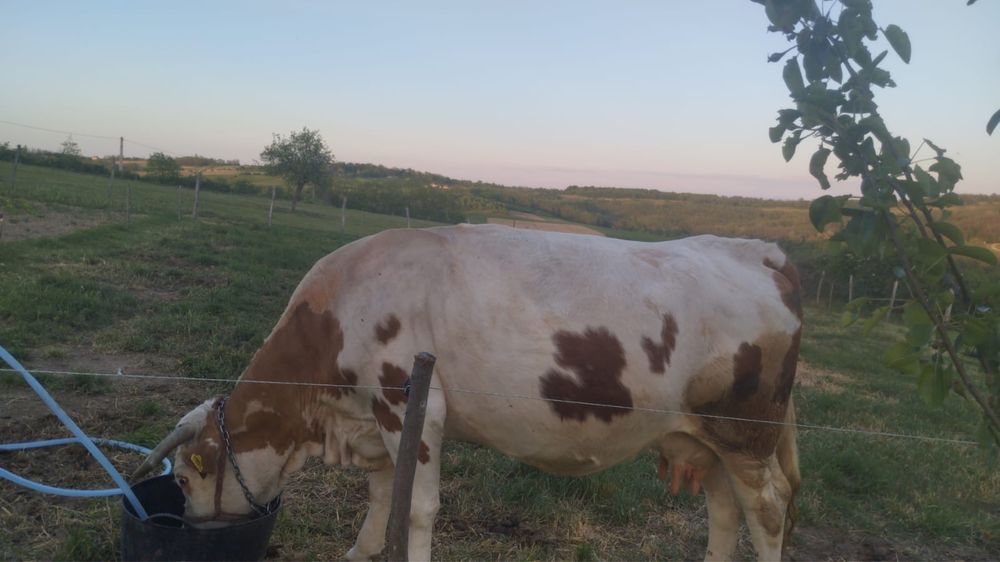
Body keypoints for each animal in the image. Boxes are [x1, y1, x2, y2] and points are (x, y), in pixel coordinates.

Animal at [134, 224, 802, 561]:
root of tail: (758, 252)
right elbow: (383, 496)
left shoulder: (410, 403)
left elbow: (416, 508)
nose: (188, 526)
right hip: (702, 438)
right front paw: (358, 553)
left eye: (187, 478)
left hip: (746, 434)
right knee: (724, 510)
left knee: (768, 509)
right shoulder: (377, 420)